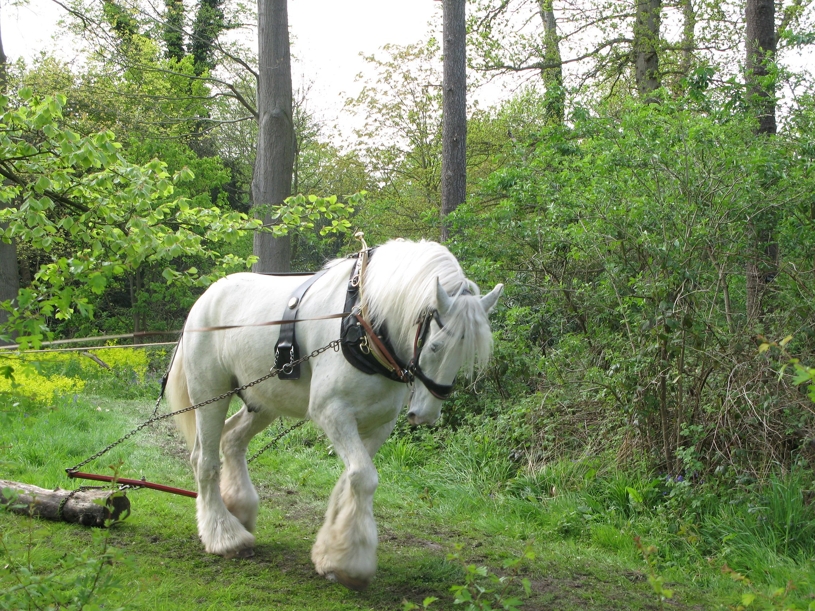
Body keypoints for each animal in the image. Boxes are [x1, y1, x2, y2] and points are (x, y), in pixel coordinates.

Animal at [167, 238, 504, 588]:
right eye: (436, 346)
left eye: (465, 355)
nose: (426, 415)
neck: (364, 323)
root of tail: (205, 298)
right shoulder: (332, 412)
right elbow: (364, 477)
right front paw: (349, 564)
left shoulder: (379, 423)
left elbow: (351, 479)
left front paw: (332, 551)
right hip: (210, 394)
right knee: (204, 461)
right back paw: (225, 536)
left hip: (262, 400)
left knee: (231, 440)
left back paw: (239, 511)